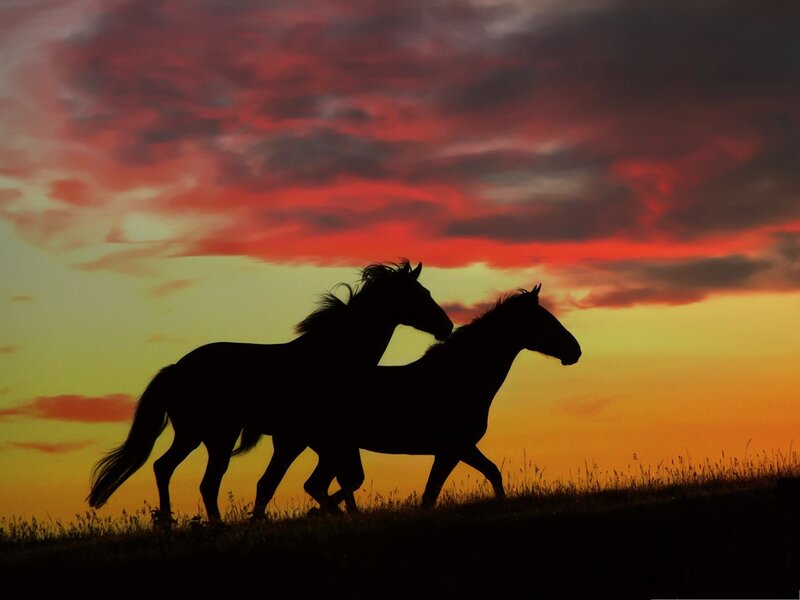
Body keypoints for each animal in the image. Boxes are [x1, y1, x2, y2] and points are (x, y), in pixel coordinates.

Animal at [87, 260, 453, 524]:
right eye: (421, 294)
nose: (447, 327)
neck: (330, 358)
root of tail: (177, 368)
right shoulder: (304, 438)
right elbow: (293, 483)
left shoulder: (310, 439)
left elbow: (293, 483)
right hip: (214, 436)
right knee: (201, 479)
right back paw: (206, 525)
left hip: (197, 435)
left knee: (167, 468)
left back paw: (170, 522)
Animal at [241, 283, 580, 516]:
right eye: (544, 320)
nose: (575, 351)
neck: (459, 378)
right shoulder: (453, 448)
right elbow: (433, 493)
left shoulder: (457, 448)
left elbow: (488, 474)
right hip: (312, 445)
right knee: (302, 484)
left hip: (322, 448)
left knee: (305, 484)